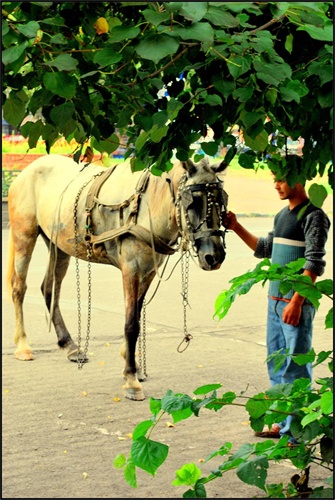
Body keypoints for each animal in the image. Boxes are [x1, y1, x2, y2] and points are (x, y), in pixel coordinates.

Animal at [6, 154, 230, 400]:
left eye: (222, 201)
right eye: (193, 202)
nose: (214, 256)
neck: (148, 205)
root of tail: (28, 170)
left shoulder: (148, 271)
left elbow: (135, 316)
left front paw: (133, 366)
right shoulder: (131, 269)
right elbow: (131, 324)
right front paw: (131, 379)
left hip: (59, 244)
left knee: (49, 289)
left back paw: (70, 345)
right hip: (24, 234)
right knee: (19, 288)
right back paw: (23, 346)